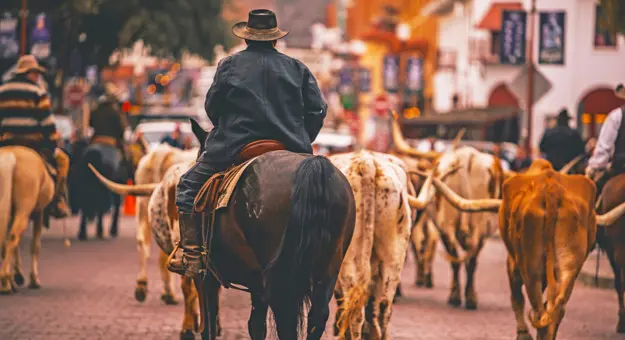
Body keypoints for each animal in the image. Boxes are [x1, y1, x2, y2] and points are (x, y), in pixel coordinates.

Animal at [190, 123, 356, 340]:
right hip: (327, 269)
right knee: (317, 316)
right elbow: (256, 325)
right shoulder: (256, 283)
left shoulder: (210, 275)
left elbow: (211, 323)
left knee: (285, 317)